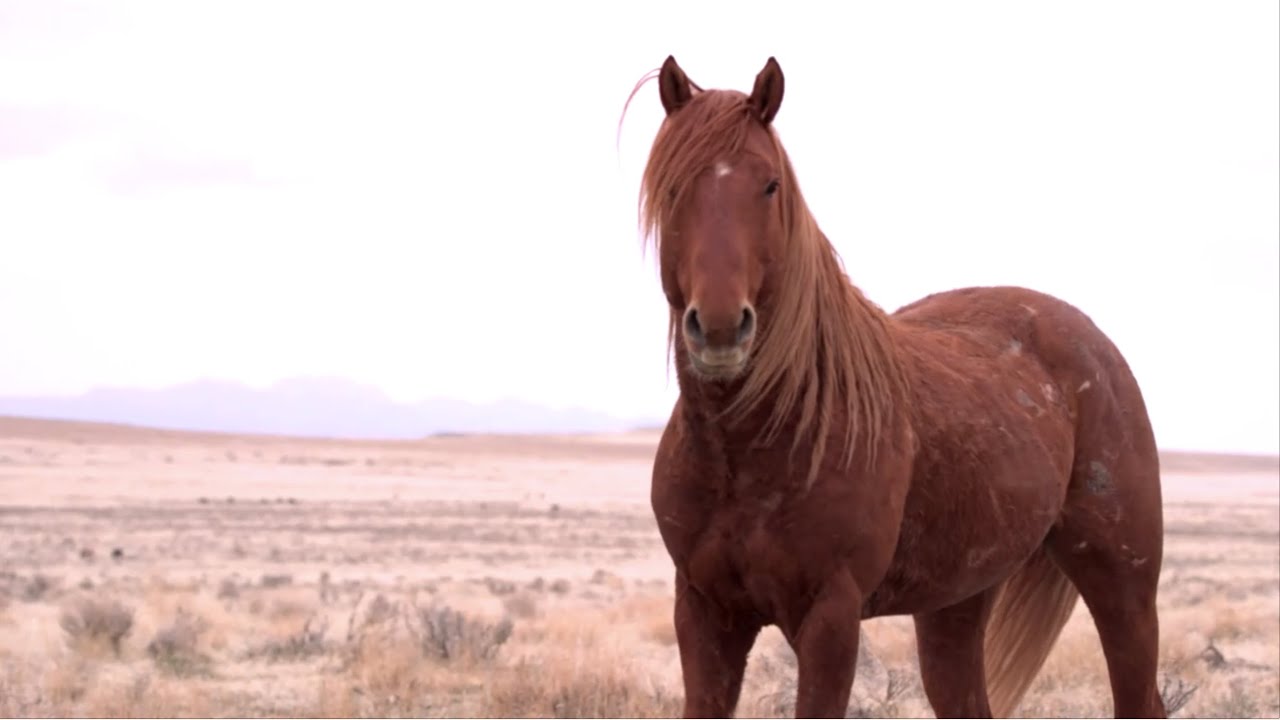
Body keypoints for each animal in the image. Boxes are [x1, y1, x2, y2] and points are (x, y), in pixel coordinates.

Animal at [626, 56, 1166, 718]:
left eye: (770, 185)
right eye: (674, 187)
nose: (723, 327)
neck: (757, 442)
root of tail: (1093, 340)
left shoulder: (830, 618)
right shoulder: (704, 614)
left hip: (1123, 583)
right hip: (956, 605)